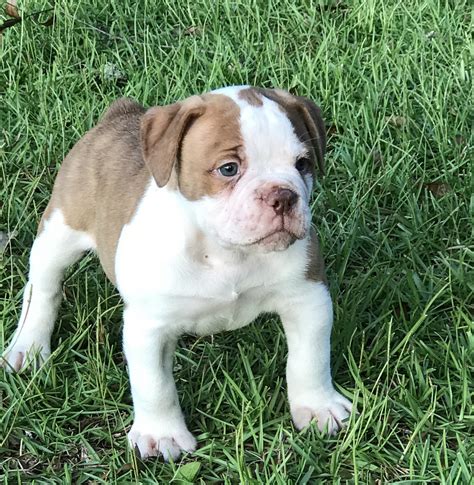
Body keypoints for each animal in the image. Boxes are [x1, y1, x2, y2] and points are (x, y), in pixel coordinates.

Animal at [1, 85, 352, 460]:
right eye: (228, 168)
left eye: (303, 164)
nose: (283, 195)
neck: (227, 252)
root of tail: (120, 114)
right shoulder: (149, 325)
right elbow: (155, 385)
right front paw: (161, 434)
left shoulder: (307, 300)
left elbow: (310, 360)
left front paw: (318, 407)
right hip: (59, 231)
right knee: (43, 288)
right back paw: (29, 346)